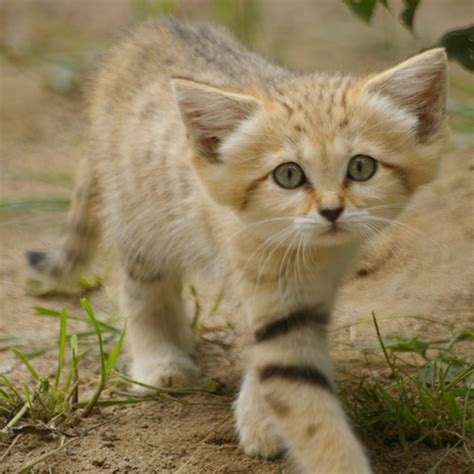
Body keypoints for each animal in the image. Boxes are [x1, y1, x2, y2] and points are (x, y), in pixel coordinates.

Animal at [25, 19, 448, 474]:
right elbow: (303, 403)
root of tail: (151, 29)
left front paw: (259, 418)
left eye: (361, 167)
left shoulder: (309, 299)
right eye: (288, 176)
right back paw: (160, 360)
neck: (307, 253)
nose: (332, 211)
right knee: (143, 291)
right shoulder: (267, 292)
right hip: (137, 220)